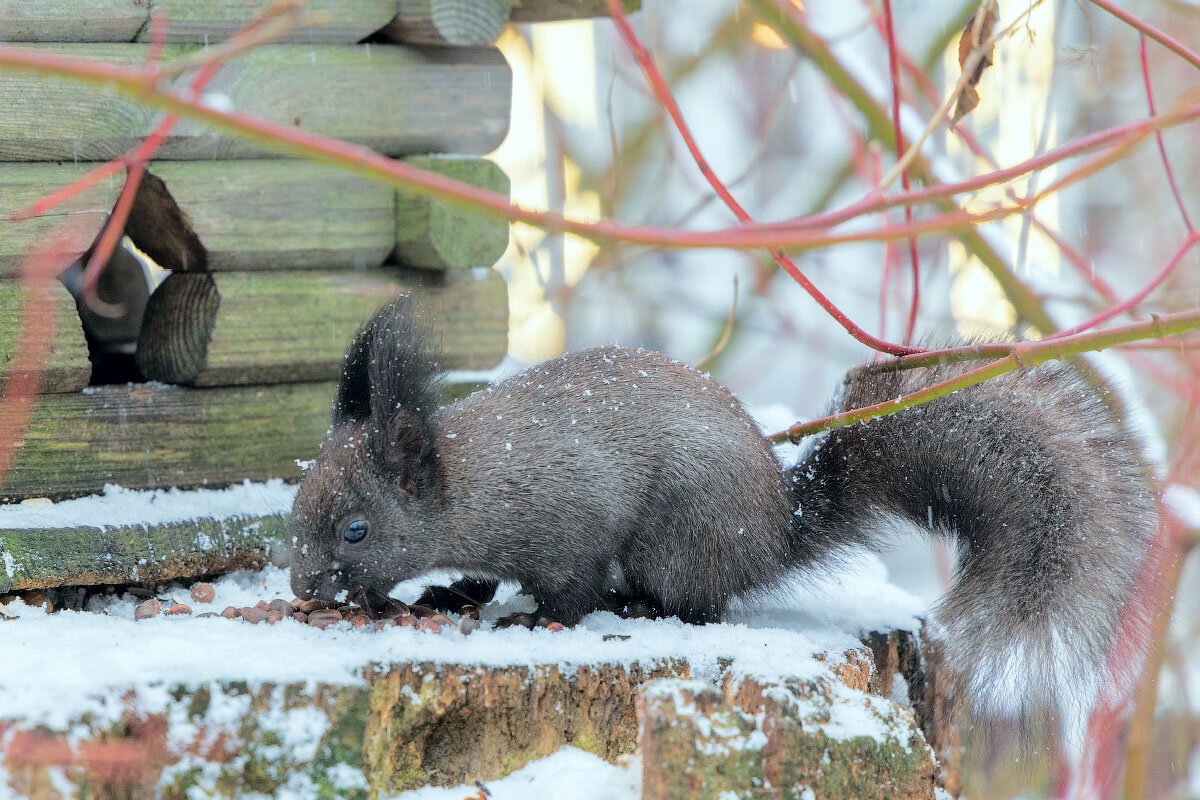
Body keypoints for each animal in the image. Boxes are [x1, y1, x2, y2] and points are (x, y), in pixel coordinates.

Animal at [285, 297, 1156, 724]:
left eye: (357, 530)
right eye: (296, 506)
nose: (301, 588)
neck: (473, 481)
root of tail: (771, 536)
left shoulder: (568, 525)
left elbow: (567, 586)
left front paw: (531, 620)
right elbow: (481, 578)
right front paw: (449, 592)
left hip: (679, 534)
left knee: (697, 605)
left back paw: (638, 603)